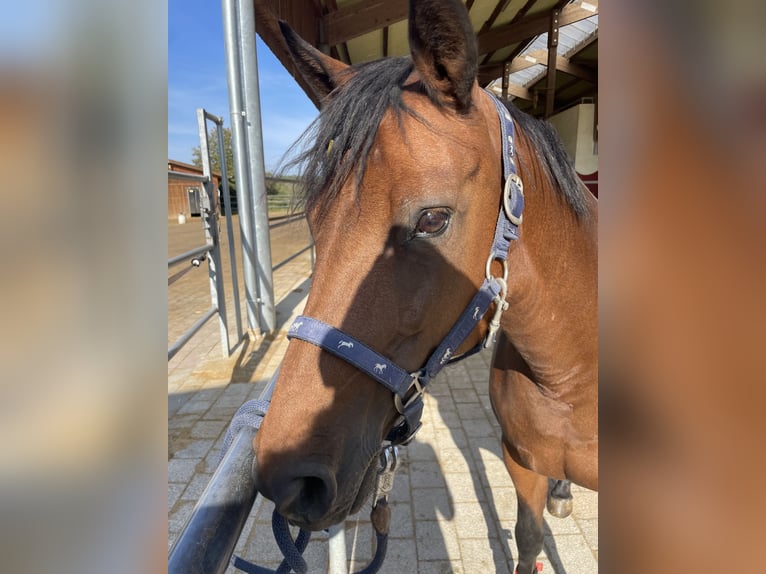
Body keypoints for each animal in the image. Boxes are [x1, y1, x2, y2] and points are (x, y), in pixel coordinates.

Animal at [255, 2, 596, 572]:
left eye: (433, 220)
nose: (287, 476)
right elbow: (528, 538)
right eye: (314, 217)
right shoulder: (520, 464)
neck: (570, 374)